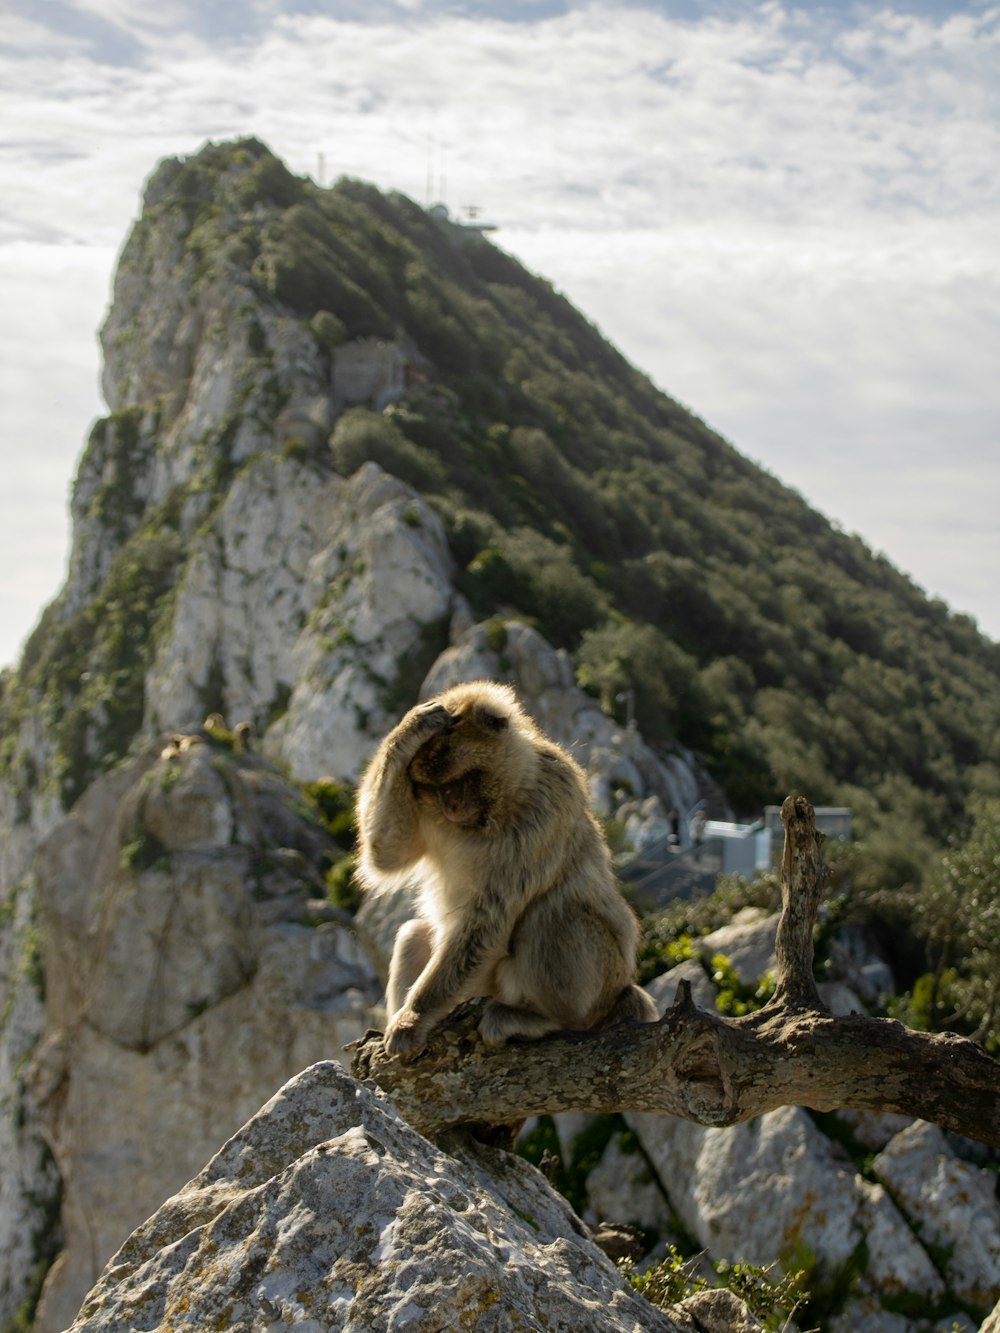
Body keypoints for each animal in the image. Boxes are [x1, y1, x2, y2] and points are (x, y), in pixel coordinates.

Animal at [357, 682, 661, 1055]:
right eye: (433, 788)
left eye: (459, 780)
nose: (451, 806)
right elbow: (387, 854)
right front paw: (410, 728)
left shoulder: (547, 807)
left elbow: (488, 918)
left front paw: (412, 1019)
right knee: (414, 935)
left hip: (604, 984)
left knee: (554, 913)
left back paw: (549, 1020)